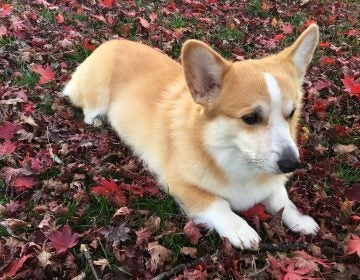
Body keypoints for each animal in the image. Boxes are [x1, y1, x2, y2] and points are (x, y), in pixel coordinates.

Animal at [63, 24, 320, 249]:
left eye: (291, 113)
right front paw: (240, 229)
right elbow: (218, 203)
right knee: (88, 109)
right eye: (251, 118)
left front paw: (301, 220)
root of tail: (110, 43)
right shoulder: (177, 183)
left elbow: (281, 199)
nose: (291, 164)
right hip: (97, 93)